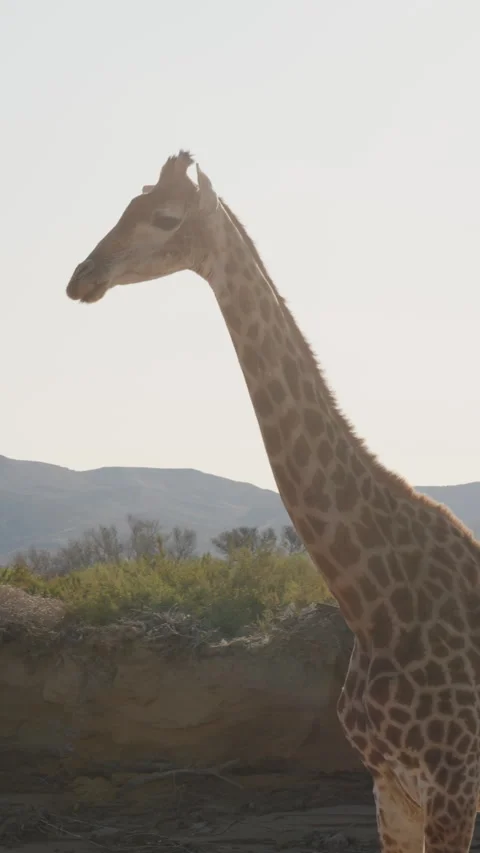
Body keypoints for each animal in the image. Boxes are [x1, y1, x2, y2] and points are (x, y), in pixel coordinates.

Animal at [66, 150, 480, 853]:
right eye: (126, 205)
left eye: (165, 217)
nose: (81, 278)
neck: (372, 607)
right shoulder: (391, 786)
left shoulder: (454, 782)